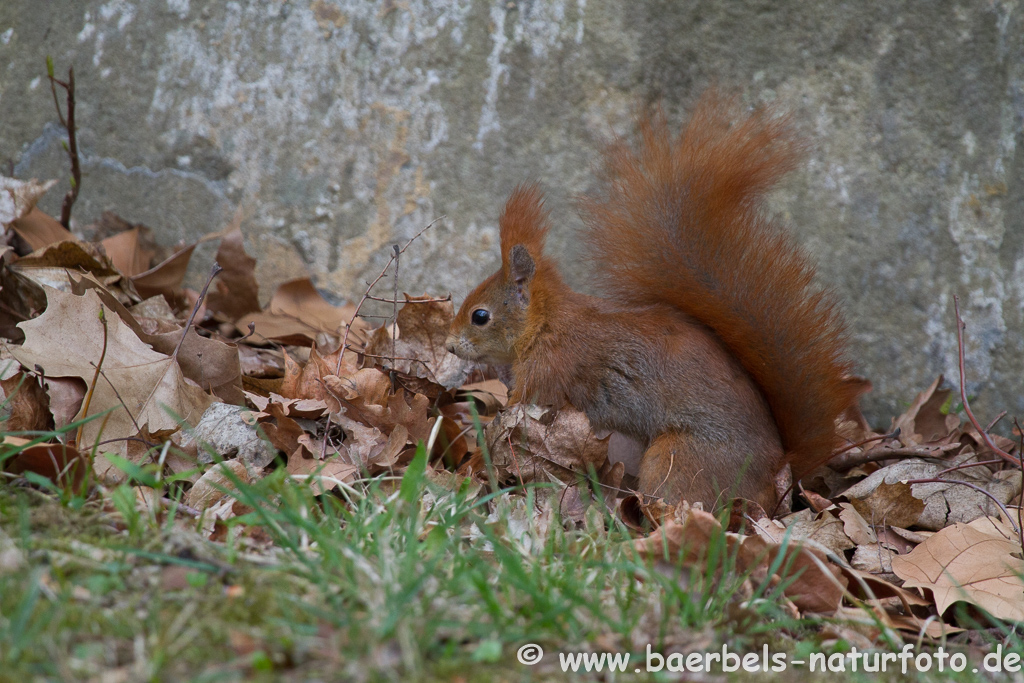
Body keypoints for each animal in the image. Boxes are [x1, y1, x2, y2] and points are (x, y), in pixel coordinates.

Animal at [444, 90, 860, 509]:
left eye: (480, 316)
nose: (448, 345)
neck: (547, 323)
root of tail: (779, 472)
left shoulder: (549, 370)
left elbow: (515, 410)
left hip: (675, 458)